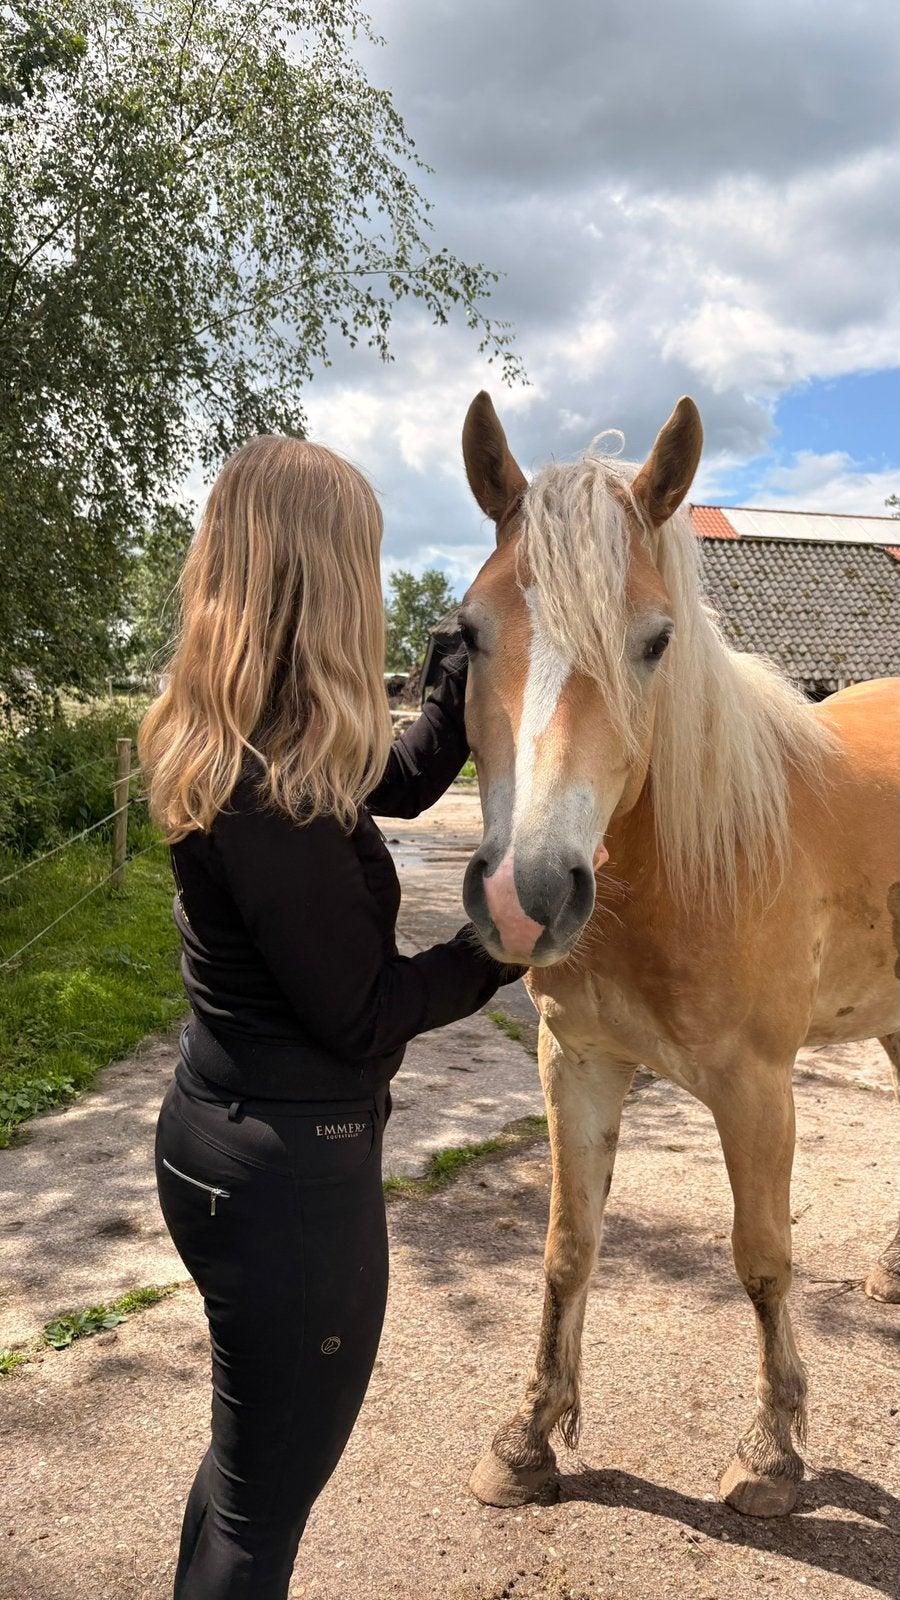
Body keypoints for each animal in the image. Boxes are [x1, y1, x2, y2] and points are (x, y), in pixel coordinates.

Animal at [457, 391, 900, 1518]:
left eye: (656, 641)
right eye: (467, 634)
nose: (526, 895)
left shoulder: (757, 1089)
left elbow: (763, 1260)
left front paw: (774, 1454)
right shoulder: (577, 1063)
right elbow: (568, 1249)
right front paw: (527, 1440)